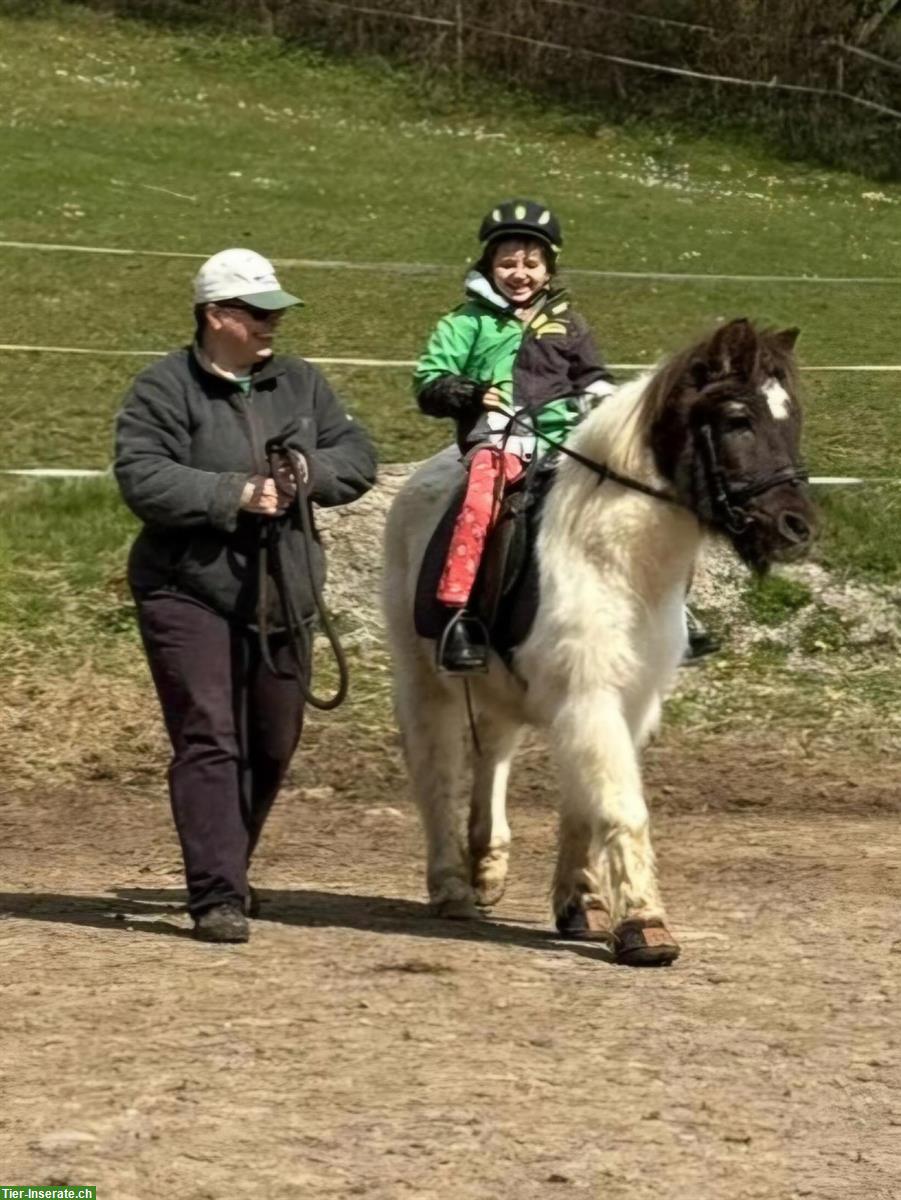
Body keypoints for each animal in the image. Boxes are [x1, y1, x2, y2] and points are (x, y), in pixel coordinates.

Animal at [381, 319, 815, 964]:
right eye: (738, 418)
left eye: (792, 418)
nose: (797, 528)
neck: (618, 560)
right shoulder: (590, 697)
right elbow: (618, 805)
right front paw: (644, 925)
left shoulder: (627, 704)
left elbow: (584, 806)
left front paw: (581, 906)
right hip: (422, 681)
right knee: (435, 770)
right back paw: (453, 887)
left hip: (498, 688)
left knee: (492, 754)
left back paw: (487, 867)